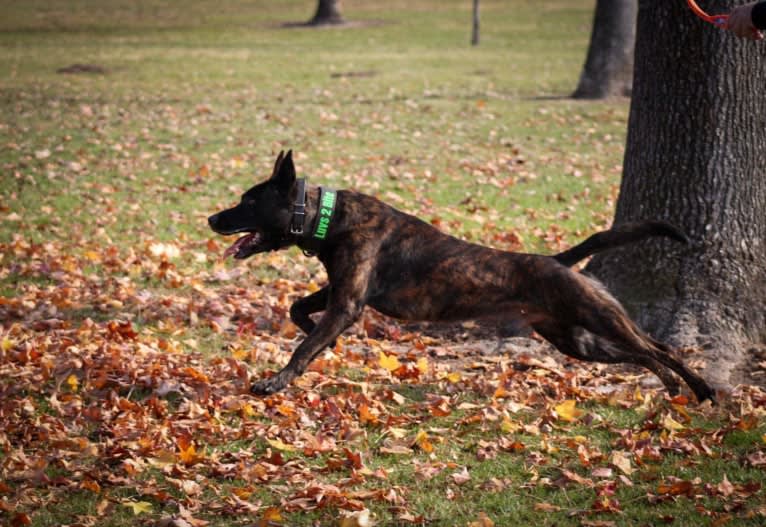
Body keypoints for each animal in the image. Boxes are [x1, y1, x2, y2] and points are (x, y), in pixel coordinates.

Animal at [207, 151, 716, 402]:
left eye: (249, 201)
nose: (211, 218)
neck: (327, 217)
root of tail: (557, 260)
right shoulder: (340, 290)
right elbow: (299, 310)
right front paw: (316, 337)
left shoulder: (348, 302)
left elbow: (303, 346)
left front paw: (275, 382)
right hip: (577, 340)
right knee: (643, 355)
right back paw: (673, 387)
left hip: (598, 318)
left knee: (661, 348)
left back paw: (702, 390)